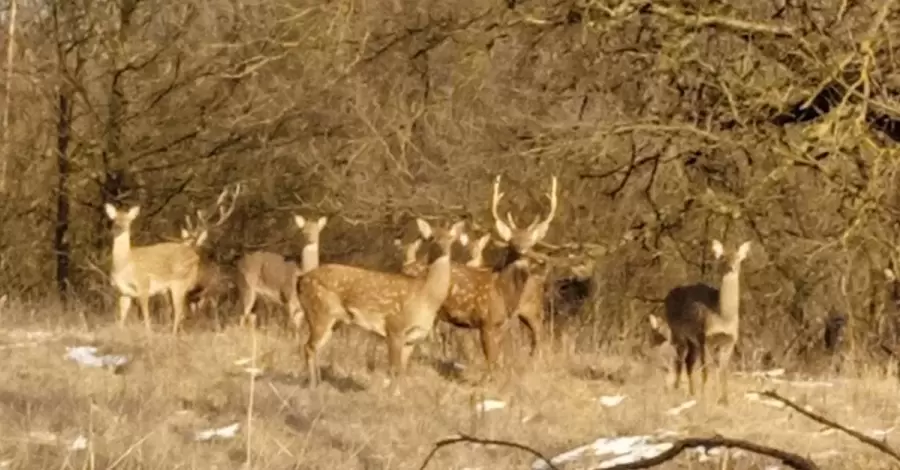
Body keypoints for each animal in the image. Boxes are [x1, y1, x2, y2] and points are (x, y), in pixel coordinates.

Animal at [300, 218, 468, 392]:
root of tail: (301, 280)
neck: (426, 297)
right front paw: (390, 395)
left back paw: (319, 383)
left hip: (335, 319)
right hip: (319, 311)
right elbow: (394, 368)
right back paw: (312, 387)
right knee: (309, 347)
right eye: (432, 238)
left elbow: (402, 370)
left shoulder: (412, 338)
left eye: (450, 238)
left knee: (316, 347)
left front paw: (399, 394)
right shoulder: (394, 327)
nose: (443, 248)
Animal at [652, 239, 752, 404]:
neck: (723, 316)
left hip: (692, 341)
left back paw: (691, 392)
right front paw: (706, 396)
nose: (731, 267)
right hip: (679, 332)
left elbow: (723, 371)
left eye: (738, 258)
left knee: (688, 361)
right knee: (679, 359)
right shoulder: (705, 337)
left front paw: (724, 400)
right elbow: (707, 370)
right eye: (723, 258)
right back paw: (677, 389)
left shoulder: (729, 340)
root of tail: (668, 295)